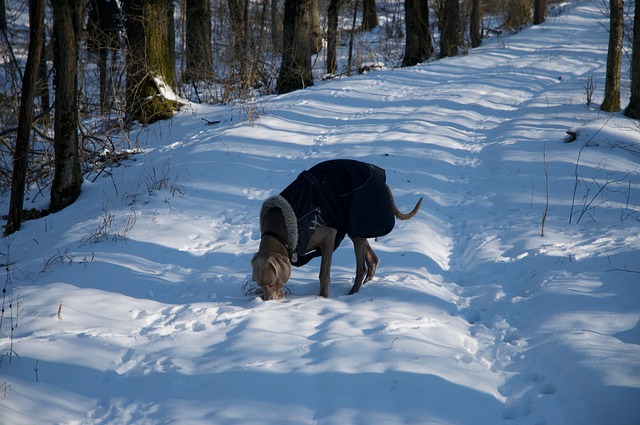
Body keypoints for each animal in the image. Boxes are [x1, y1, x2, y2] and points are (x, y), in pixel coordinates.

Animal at [251, 157, 424, 300]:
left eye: (272, 283)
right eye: (260, 284)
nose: (269, 301)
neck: (281, 228)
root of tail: (381, 178)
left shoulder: (328, 237)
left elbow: (324, 275)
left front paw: (323, 299)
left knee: (360, 269)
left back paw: (352, 294)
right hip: (354, 227)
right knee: (372, 259)